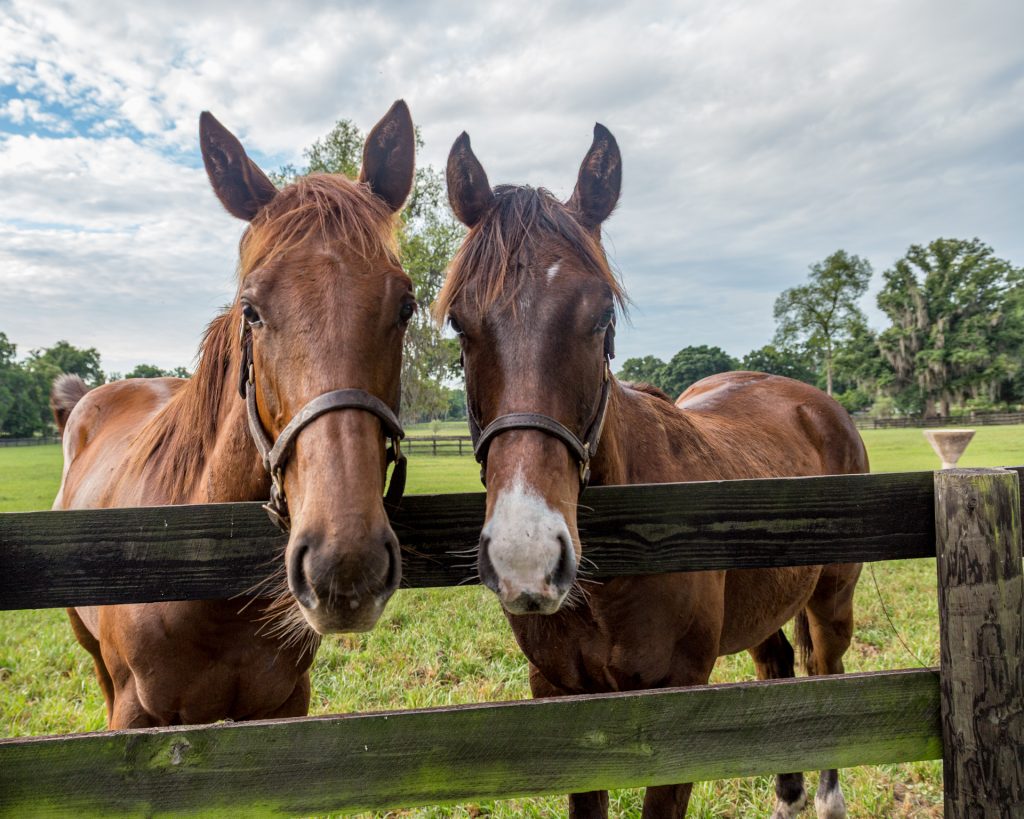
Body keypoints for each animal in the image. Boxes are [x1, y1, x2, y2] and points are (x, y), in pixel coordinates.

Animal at [437, 125, 867, 819]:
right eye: (461, 323)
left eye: (602, 317)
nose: (526, 558)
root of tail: (813, 401)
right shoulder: (557, 695)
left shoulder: (677, 705)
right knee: (777, 668)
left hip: (833, 601)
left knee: (828, 678)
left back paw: (826, 798)